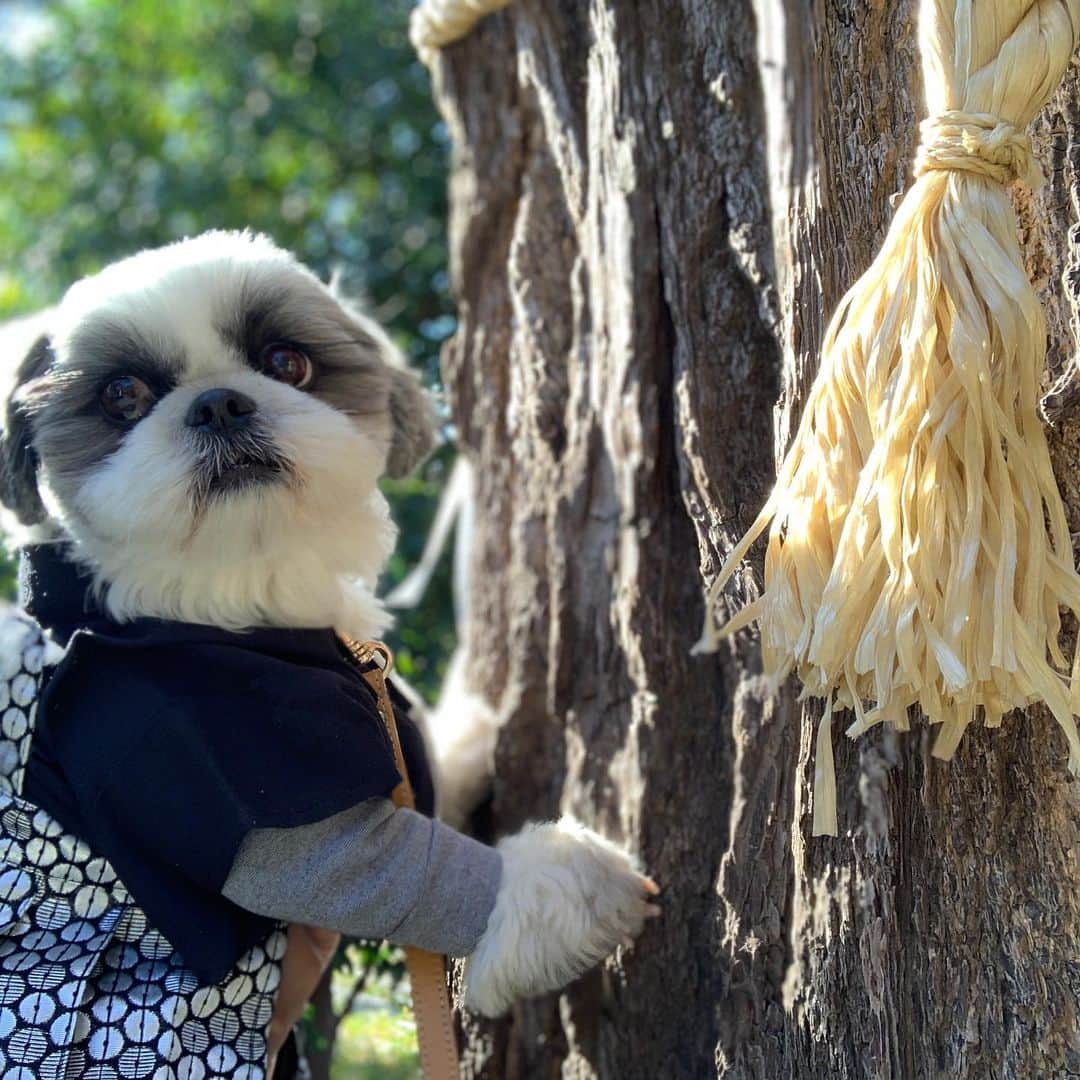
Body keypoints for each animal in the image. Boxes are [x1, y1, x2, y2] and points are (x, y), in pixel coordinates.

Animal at [0, 232, 656, 1075]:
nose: (219, 402)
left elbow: (423, 777)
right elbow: (382, 866)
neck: (230, 593)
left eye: (288, 362)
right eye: (122, 395)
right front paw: (569, 883)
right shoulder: (203, 747)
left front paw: (463, 737)